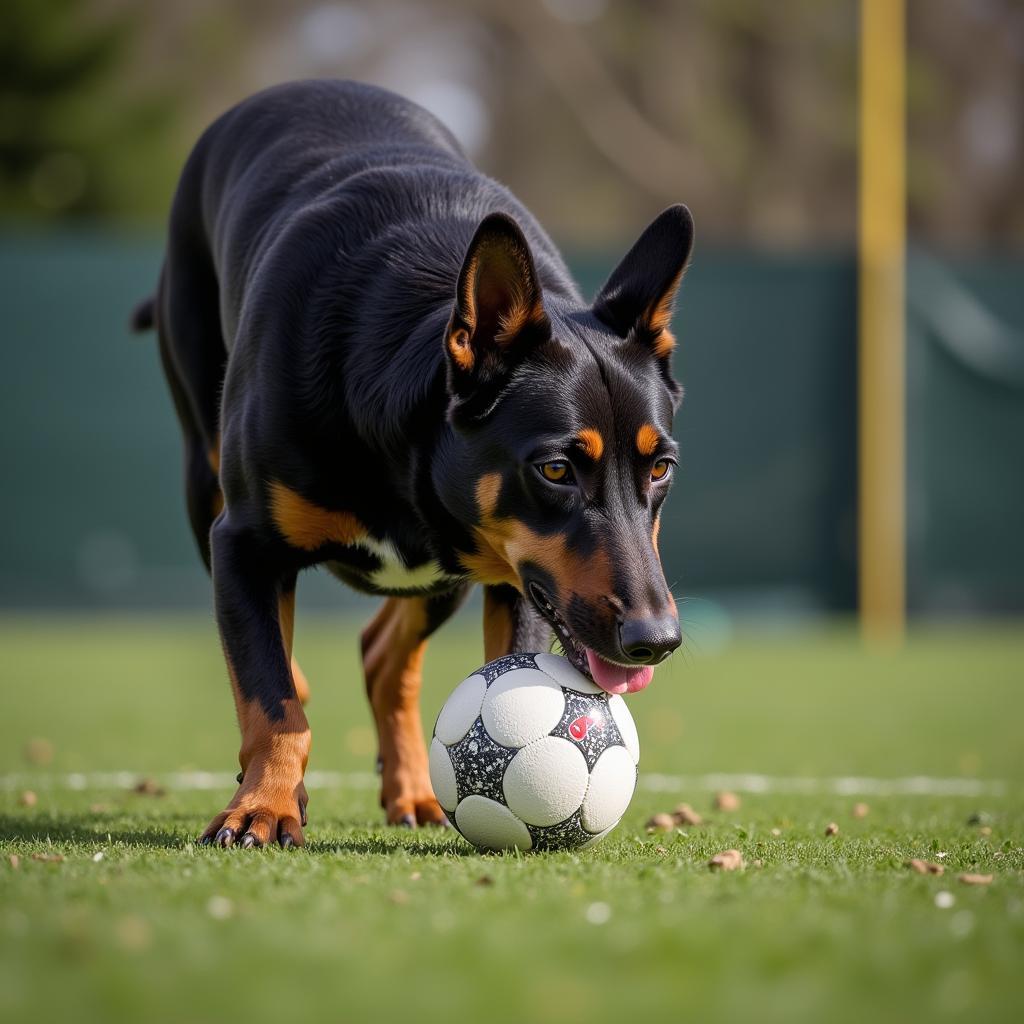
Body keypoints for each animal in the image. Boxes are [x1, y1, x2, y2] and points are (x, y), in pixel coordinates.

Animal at [128, 79, 688, 847]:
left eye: (659, 469)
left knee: (382, 657)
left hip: (451, 567)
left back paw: (414, 791)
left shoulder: (518, 577)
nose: (655, 640)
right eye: (555, 470)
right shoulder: (240, 542)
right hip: (202, 475)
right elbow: (273, 697)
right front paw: (263, 807)